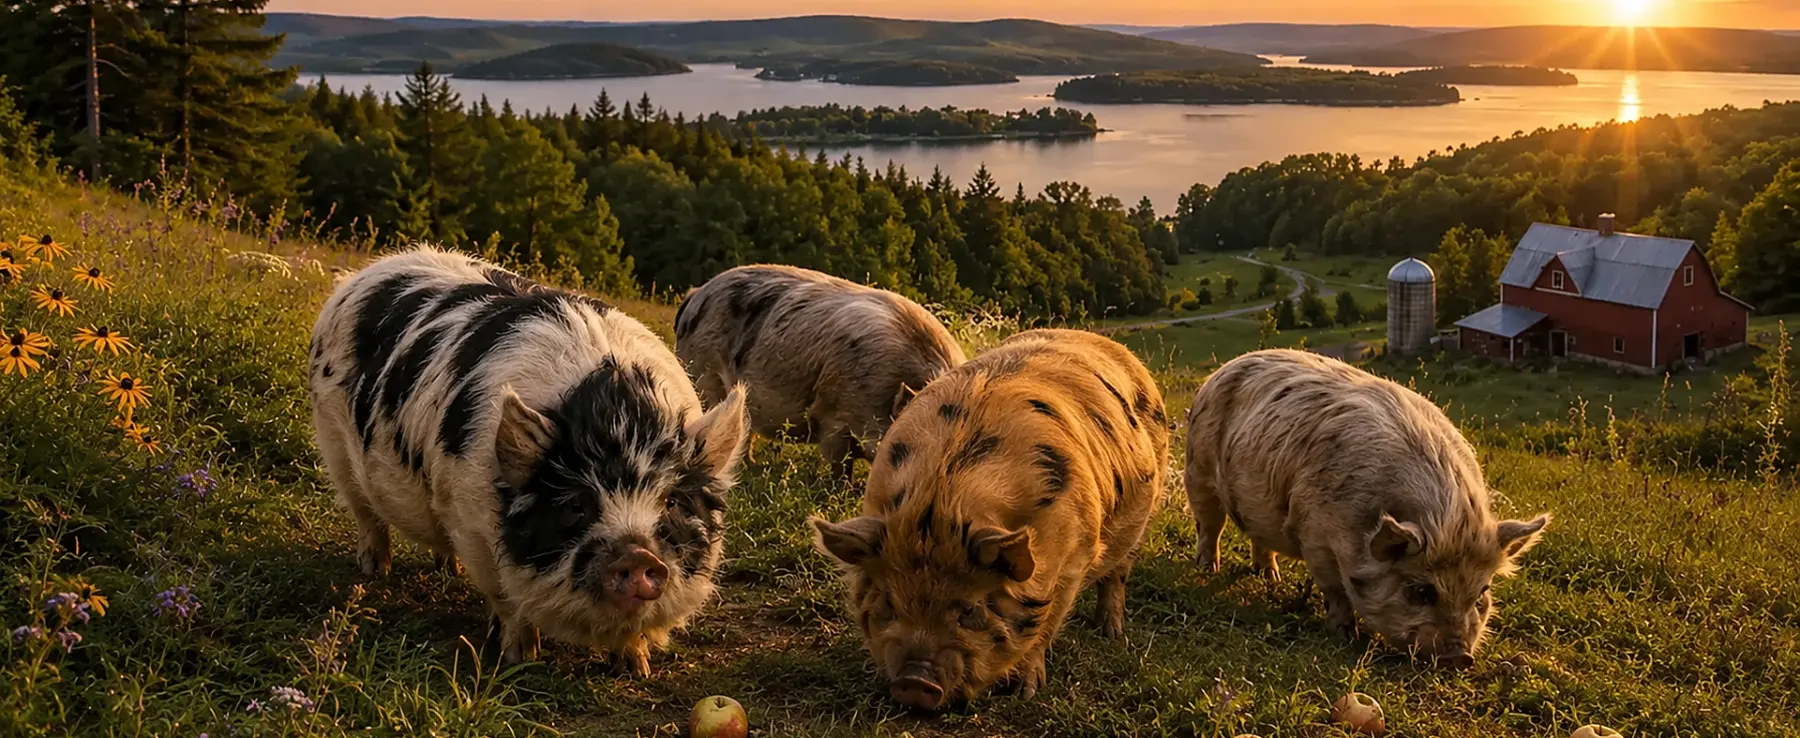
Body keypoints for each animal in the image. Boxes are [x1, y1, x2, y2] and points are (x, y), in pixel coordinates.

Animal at [308, 248, 749, 675]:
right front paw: (520, 658)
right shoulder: (475, 528)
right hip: (332, 440)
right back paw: (374, 569)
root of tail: (366, 272)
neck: (617, 418)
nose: (638, 555)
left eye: (672, 501)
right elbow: (508, 601)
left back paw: (447, 569)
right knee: (365, 513)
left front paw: (635, 668)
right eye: (577, 504)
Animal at [810, 329, 1169, 710]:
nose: (914, 682)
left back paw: (1110, 632)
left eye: (969, 610)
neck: (941, 502)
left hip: (1145, 513)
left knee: (1117, 575)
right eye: (889, 603)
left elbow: (1045, 626)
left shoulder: (1075, 559)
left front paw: (1025, 693)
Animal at [1184, 349, 1550, 666]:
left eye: (1482, 592)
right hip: (1197, 468)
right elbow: (1336, 591)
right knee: (1210, 524)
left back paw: (1269, 576)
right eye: (1421, 591)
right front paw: (1344, 635)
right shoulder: (1314, 533)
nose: (1460, 657)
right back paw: (1208, 568)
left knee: (1259, 537)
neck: (1443, 518)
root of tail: (1227, 366)